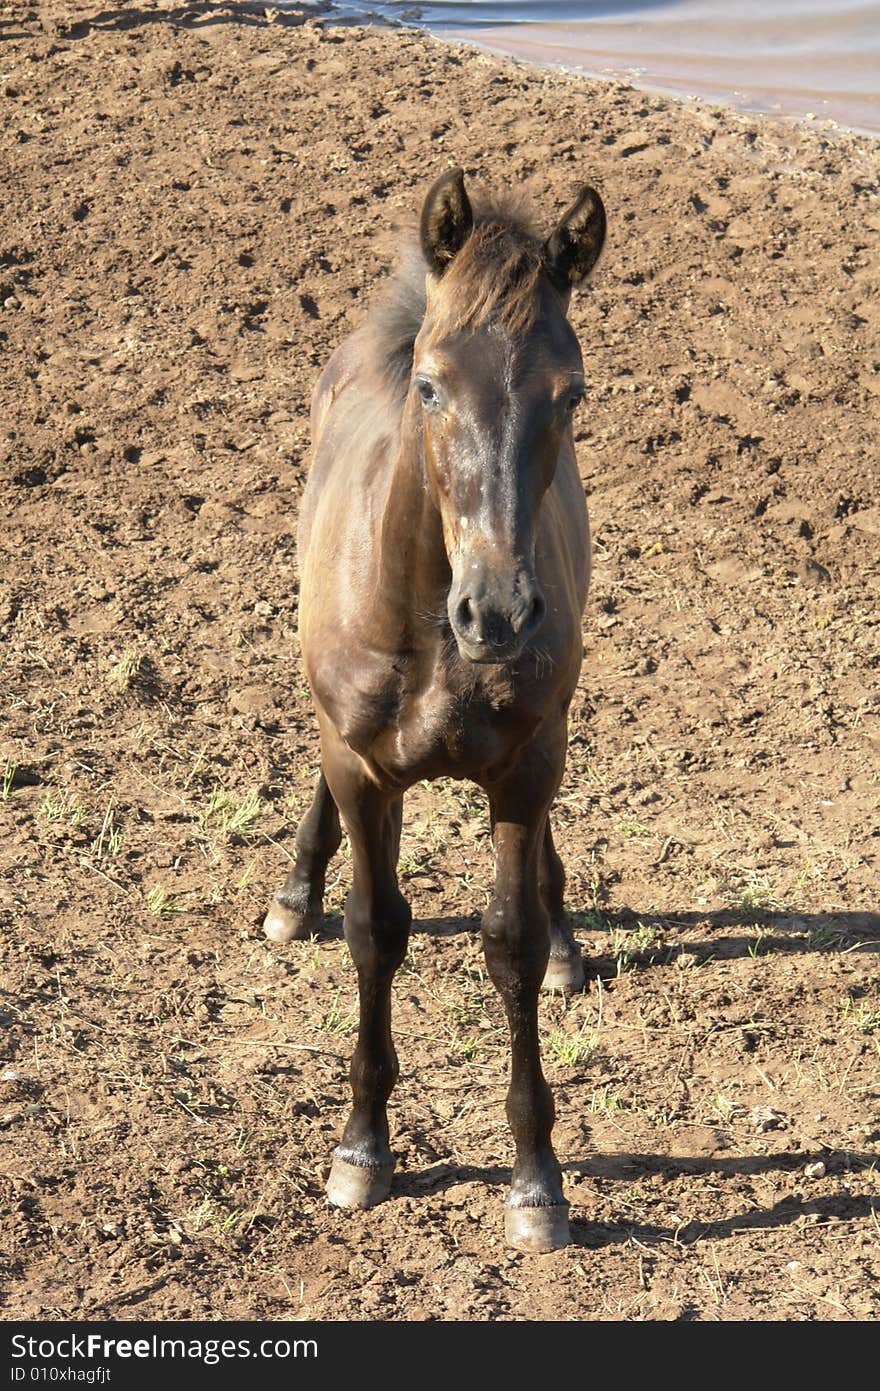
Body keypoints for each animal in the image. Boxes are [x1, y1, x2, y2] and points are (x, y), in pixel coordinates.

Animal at [261, 168, 603, 1257]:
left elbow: (510, 941)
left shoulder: (527, 764)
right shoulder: (362, 765)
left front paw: (536, 1180)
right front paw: (362, 1149)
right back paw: (294, 892)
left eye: (570, 394)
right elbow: (377, 929)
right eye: (431, 385)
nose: (495, 610)